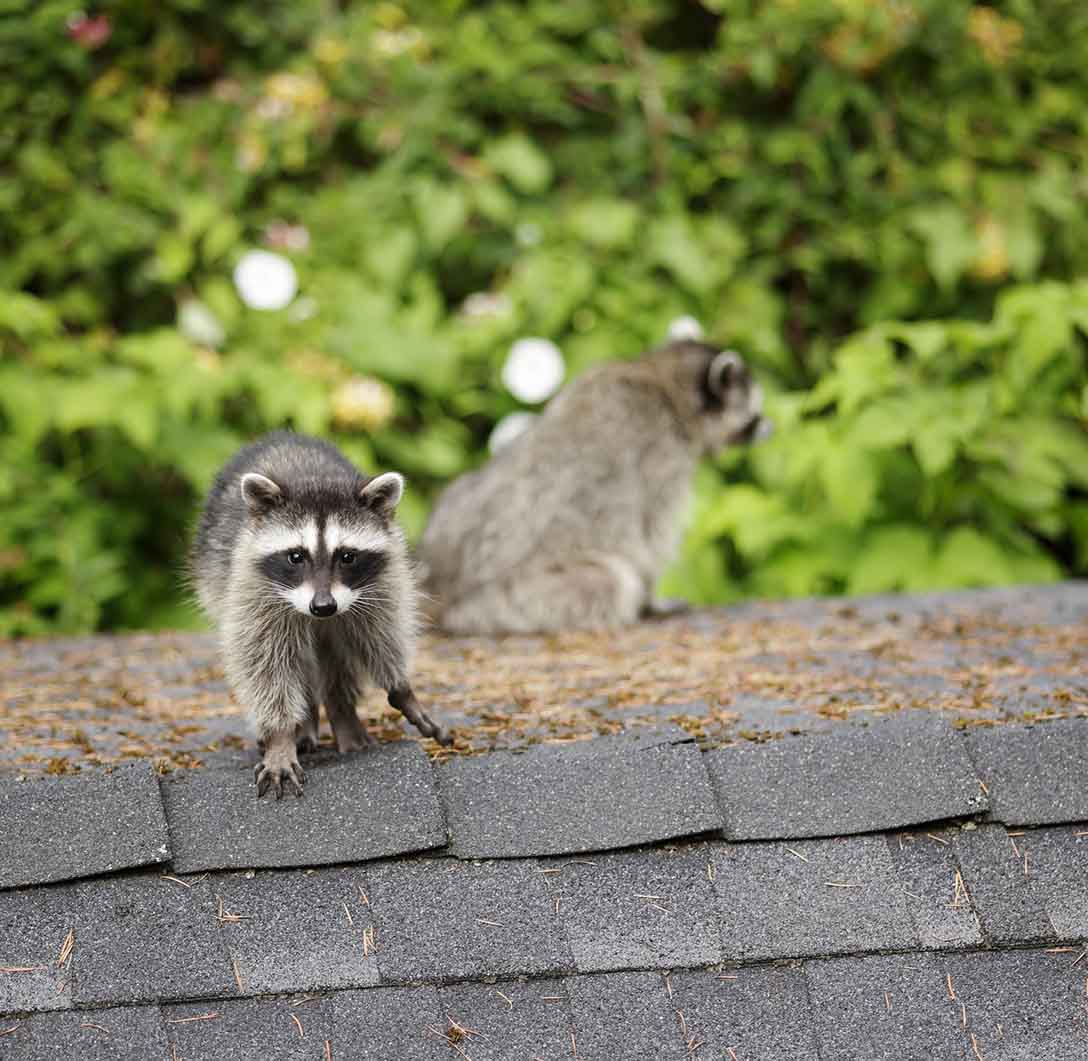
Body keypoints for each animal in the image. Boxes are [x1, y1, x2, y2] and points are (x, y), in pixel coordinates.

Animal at [191, 430, 450, 796]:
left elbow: (382, 634)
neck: (314, 478)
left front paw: (402, 689)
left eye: (347, 556)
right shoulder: (251, 589)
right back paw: (305, 723)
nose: (323, 606)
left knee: (335, 657)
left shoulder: (382, 583)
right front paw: (281, 736)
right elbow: (263, 662)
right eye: (296, 556)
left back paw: (342, 713)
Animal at [419, 343, 770, 635]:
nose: (770, 427)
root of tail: (444, 591)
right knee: (611, 580)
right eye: (754, 414)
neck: (658, 377)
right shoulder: (661, 453)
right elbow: (649, 536)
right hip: (511, 599)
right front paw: (652, 599)